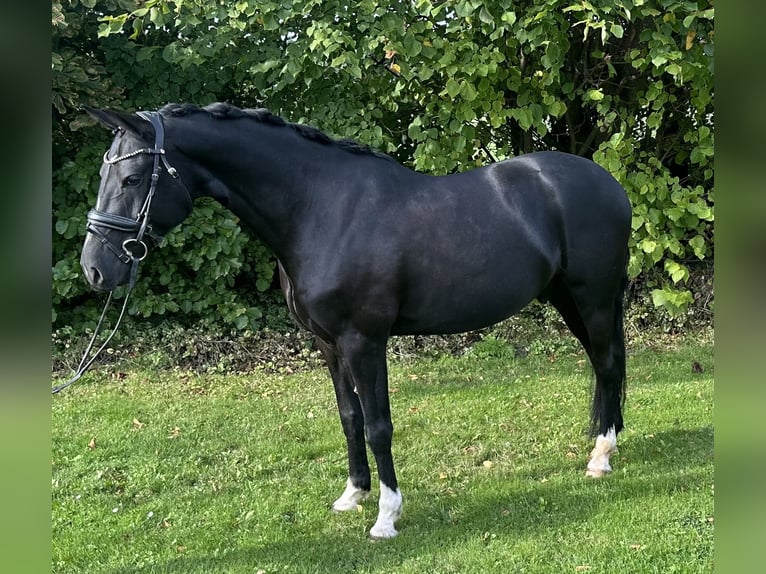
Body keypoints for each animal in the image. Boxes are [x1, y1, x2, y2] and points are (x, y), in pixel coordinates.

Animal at [80, 102, 631, 539]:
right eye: (105, 176)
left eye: (131, 179)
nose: (95, 269)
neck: (320, 208)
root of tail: (608, 183)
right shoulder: (329, 344)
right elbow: (350, 418)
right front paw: (353, 495)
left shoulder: (364, 341)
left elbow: (379, 425)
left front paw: (386, 516)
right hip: (567, 299)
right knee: (604, 365)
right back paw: (609, 440)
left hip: (593, 297)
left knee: (606, 364)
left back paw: (601, 456)